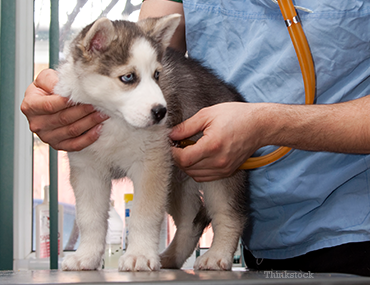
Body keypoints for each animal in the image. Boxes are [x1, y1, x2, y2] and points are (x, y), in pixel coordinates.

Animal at [55, 15, 250, 270]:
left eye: (157, 75)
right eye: (128, 77)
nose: (161, 112)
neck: (115, 119)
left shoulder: (150, 165)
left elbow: (144, 214)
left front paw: (138, 254)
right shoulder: (88, 170)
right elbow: (90, 218)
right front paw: (86, 256)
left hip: (218, 172)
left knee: (229, 215)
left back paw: (217, 255)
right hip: (177, 180)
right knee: (191, 220)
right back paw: (170, 257)